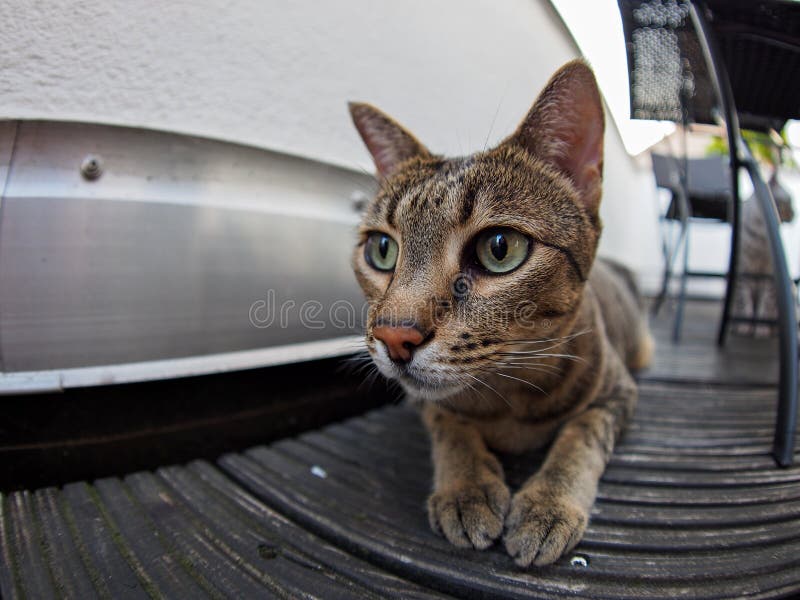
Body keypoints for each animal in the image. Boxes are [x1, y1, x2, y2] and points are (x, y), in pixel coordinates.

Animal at [346, 61, 652, 568]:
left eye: (500, 248)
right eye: (382, 249)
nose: (393, 337)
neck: (508, 397)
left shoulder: (618, 394)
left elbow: (582, 435)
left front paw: (547, 503)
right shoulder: (426, 403)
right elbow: (449, 425)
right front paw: (466, 487)